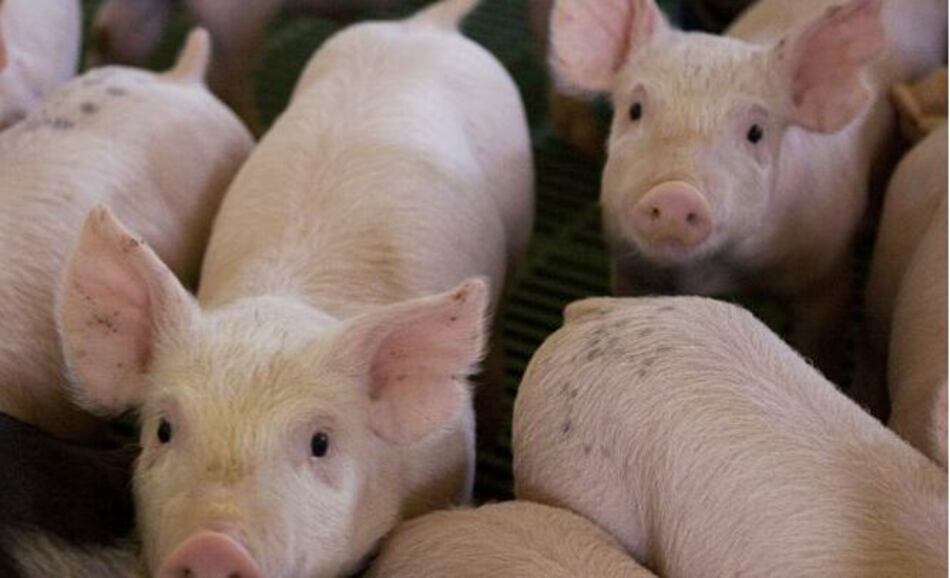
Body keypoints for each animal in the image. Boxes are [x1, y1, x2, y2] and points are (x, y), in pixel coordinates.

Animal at [548, 0, 947, 380]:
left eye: (756, 132)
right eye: (634, 110)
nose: (675, 194)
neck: (719, 273)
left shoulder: (827, 272)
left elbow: (821, 341)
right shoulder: (629, 266)